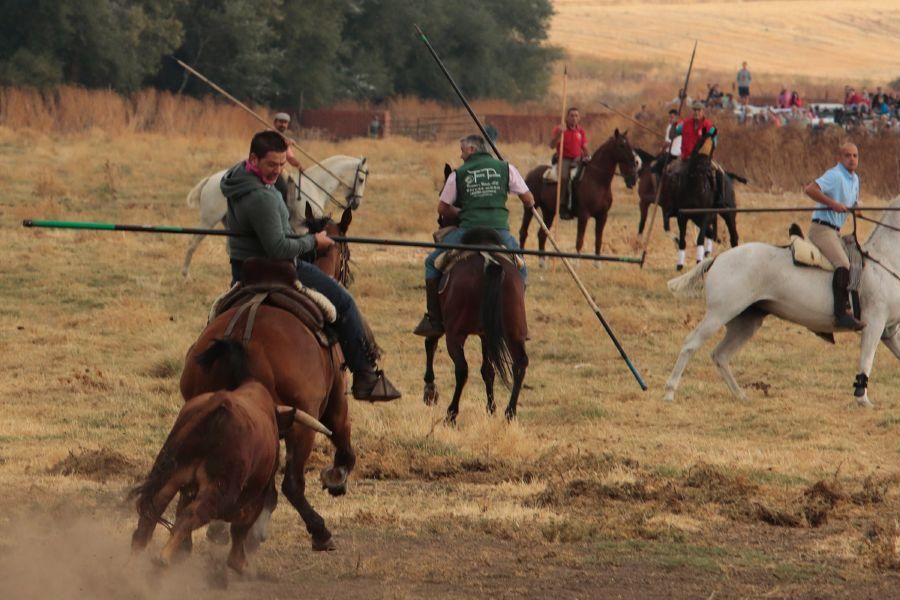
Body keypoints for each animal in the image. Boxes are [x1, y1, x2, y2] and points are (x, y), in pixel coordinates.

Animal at [130, 338, 330, 572]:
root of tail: (216, 409)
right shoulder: (256, 496)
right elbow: (240, 528)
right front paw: (239, 563)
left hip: (172, 474)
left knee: (152, 511)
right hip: (220, 490)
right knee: (193, 515)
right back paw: (163, 558)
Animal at [181, 155, 368, 276]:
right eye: (361, 180)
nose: (356, 204)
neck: (315, 187)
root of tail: (210, 180)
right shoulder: (303, 228)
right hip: (208, 221)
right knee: (191, 244)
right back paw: (185, 275)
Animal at [422, 229, 528, 422]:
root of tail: (491, 262)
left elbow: (431, 342)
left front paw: (430, 390)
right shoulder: (486, 334)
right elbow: (488, 370)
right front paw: (491, 408)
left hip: (455, 334)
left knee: (462, 369)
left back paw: (451, 413)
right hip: (514, 331)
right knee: (520, 364)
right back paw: (510, 413)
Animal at [520, 130, 640, 262]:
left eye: (629, 144)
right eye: (622, 145)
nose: (633, 178)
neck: (596, 180)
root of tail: (531, 173)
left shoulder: (602, 216)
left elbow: (598, 241)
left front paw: (597, 264)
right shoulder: (584, 216)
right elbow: (579, 241)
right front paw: (575, 262)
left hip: (548, 212)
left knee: (542, 234)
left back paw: (542, 262)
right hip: (530, 208)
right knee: (524, 232)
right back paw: (521, 258)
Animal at [660, 195, 900, 406]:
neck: (886, 259)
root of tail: (719, 257)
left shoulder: (888, 330)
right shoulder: (874, 323)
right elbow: (866, 359)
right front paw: (862, 399)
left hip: (746, 322)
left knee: (720, 355)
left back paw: (741, 395)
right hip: (719, 314)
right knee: (691, 345)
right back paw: (670, 393)